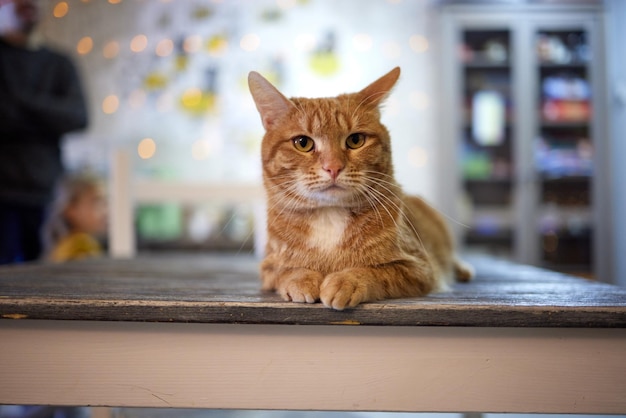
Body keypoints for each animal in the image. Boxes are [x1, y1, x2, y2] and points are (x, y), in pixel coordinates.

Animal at [246, 67, 470, 310]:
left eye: (355, 140)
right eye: (303, 143)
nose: (333, 167)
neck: (329, 217)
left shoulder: (420, 269)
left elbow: (375, 272)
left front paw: (346, 280)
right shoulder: (267, 268)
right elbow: (285, 271)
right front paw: (302, 279)